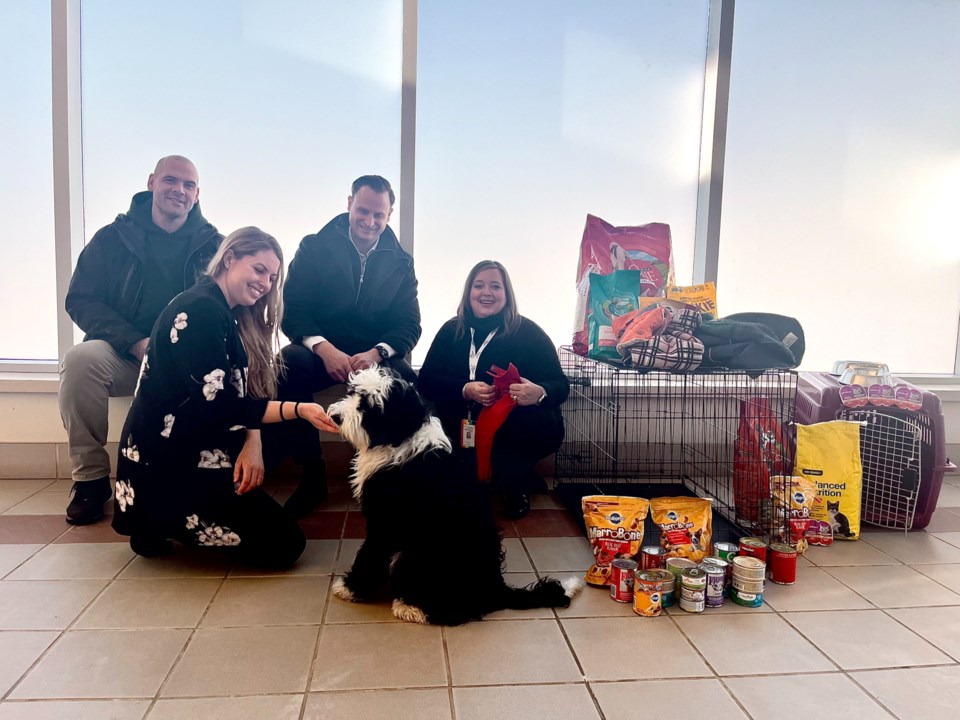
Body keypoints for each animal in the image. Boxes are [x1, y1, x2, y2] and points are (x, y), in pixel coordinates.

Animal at [326, 366, 580, 624]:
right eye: (354, 393)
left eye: (369, 405)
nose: (336, 417)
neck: (400, 438)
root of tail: (496, 588)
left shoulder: (386, 520)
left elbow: (370, 553)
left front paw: (350, 588)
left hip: (422, 554)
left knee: (457, 610)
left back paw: (412, 607)